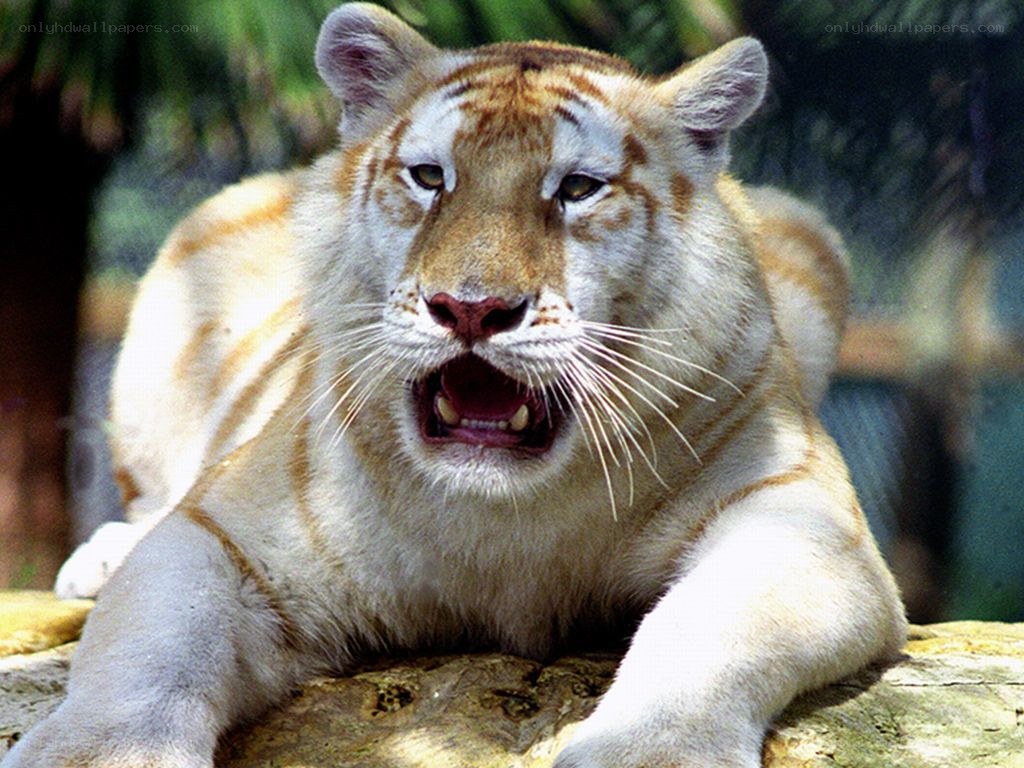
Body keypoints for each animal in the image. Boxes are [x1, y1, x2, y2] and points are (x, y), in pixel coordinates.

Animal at [7, 4, 906, 767]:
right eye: (430, 177)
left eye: (577, 188)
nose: (471, 309)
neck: (506, 518)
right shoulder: (224, 538)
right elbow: (148, 652)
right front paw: (95, 754)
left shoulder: (799, 518)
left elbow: (703, 630)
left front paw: (646, 752)